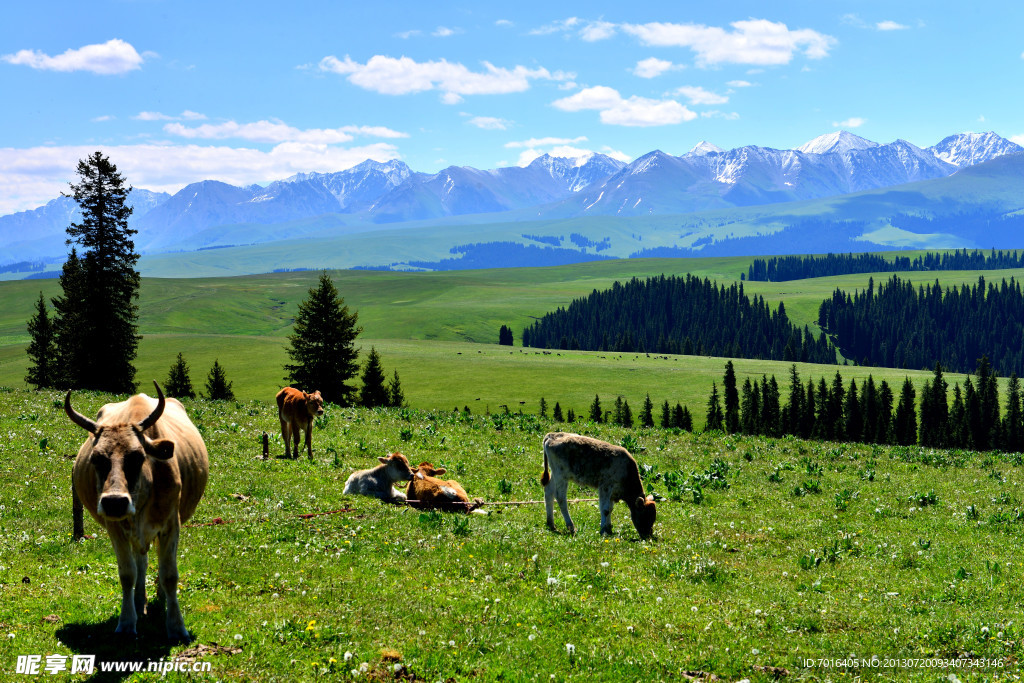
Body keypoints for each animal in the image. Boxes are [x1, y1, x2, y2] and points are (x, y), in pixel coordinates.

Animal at [67, 378, 208, 643]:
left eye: (138, 456)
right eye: (96, 458)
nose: (114, 502)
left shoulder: (171, 524)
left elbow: (170, 574)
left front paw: (176, 626)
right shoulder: (115, 528)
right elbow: (127, 574)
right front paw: (126, 621)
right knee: (140, 561)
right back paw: (139, 599)